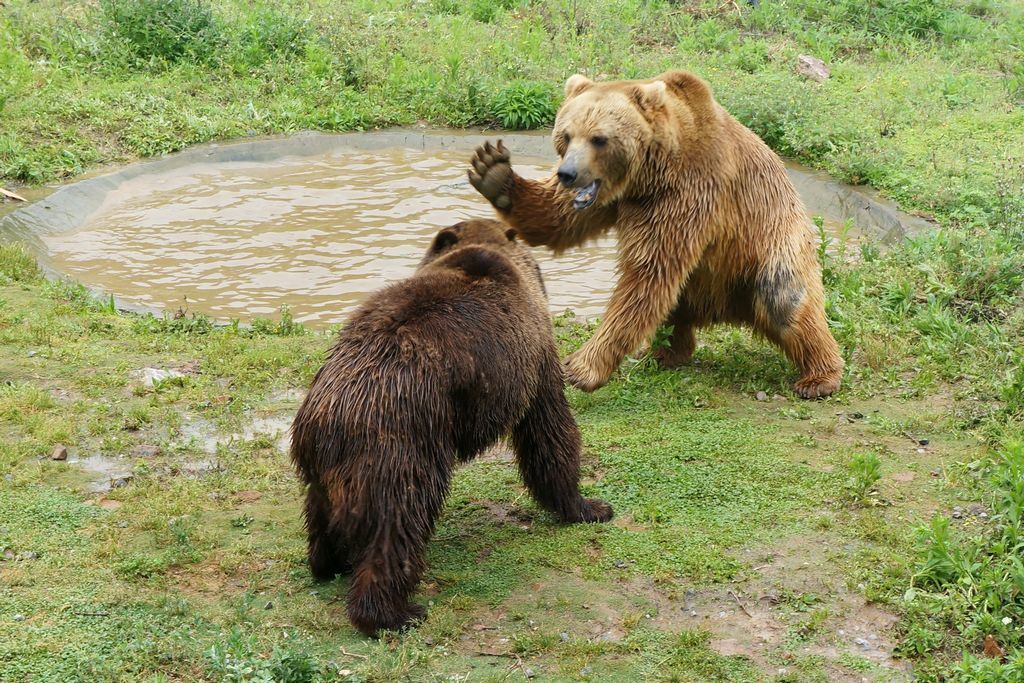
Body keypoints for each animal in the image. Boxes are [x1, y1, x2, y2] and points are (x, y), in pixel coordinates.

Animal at [288, 219, 610, 634]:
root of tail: (334, 414)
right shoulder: (533, 361)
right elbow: (550, 431)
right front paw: (589, 506)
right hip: (405, 443)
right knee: (399, 525)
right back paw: (395, 612)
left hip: (320, 462)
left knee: (320, 513)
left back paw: (329, 563)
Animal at [468, 68, 843, 401]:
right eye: (567, 135)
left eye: (598, 138)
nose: (568, 174)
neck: (651, 174)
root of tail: (727, 310)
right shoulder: (617, 199)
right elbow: (558, 219)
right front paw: (493, 171)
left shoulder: (689, 192)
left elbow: (648, 272)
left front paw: (581, 367)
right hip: (703, 281)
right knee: (676, 306)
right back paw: (665, 352)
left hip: (772, 243)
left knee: (784, 298)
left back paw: (819, 377)